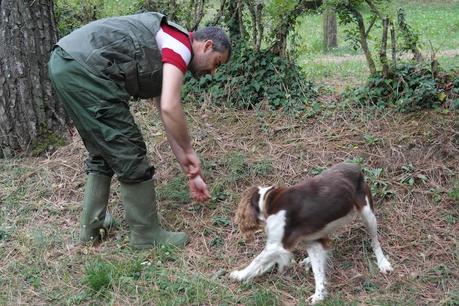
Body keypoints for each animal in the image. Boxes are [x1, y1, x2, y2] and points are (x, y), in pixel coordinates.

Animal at [232, 163, 394, 304]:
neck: (267, 202)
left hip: (368, 214)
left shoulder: (276, 245)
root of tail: (355, 167)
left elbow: (257, 261)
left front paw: (239, 274)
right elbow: (318, 271)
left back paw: (383, 263)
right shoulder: (311, 242)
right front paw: (319, 295)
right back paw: (308, 260)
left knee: (375, 241)